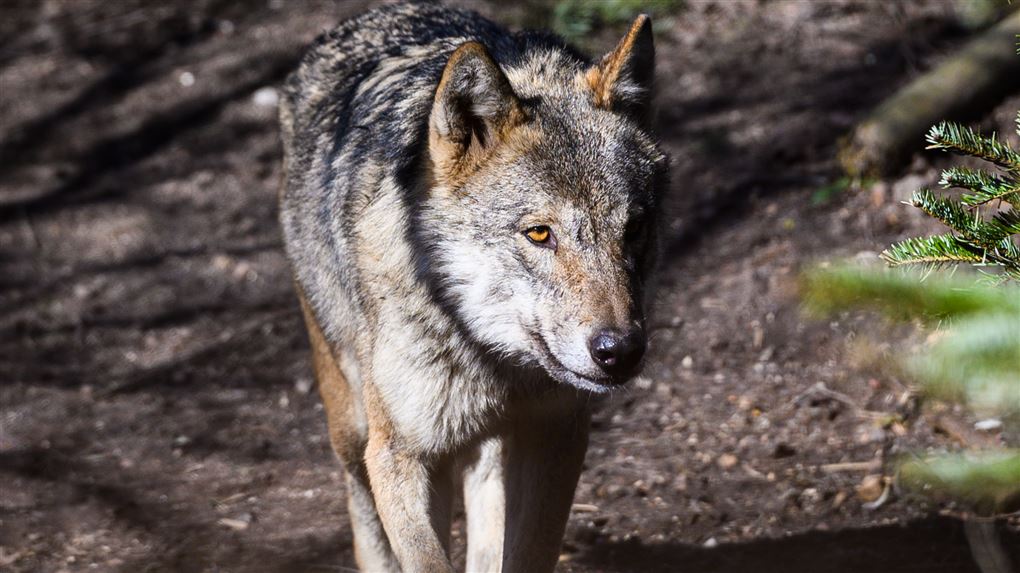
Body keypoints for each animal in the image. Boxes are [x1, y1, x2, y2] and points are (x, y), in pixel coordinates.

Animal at [275, 2, 665, 566]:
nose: (620, 351)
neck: (490, 358)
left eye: (633, 228)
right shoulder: (398, 455)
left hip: (490, 451)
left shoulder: (558, 434)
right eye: (540, 233)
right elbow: (425, 558)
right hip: (353, 429)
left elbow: (527, 553)